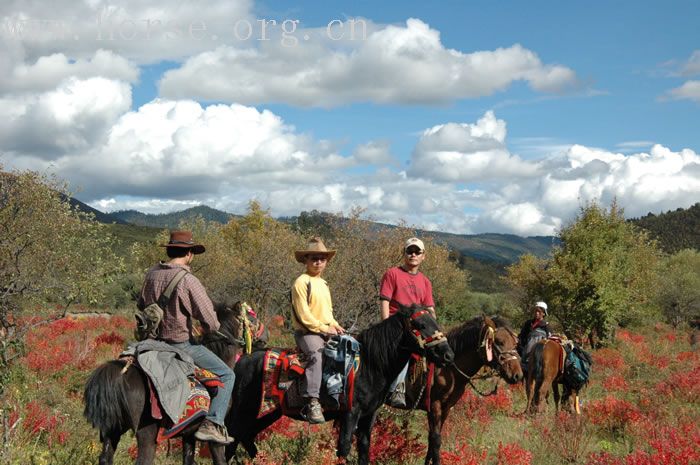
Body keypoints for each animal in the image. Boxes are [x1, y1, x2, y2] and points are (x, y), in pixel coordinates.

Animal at [83, 304, 243, 464]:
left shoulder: (189, 433)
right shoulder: (216, 438)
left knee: (105, 457)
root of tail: (120, 373)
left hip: (111, 430)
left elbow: (188, 458)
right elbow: (219, 459)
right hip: (147, 435)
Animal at [223, 302, 454, 464]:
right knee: (233, 436)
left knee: (247, 435)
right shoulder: (350, 413)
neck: (371, 365)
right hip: (245, 408)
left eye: (436, 323)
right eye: (421, 325)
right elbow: (343, 447)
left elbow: (364, 447)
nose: (448, 355)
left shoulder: (369, 415)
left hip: (269, 411)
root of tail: (243, 359)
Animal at [396, 316, 524, 464]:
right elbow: (436, 440)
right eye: (499, 342)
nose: (517, 375)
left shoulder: (446, 407)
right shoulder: (435, 405)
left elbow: (432, 439)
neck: (448, 370)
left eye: (515, 343)